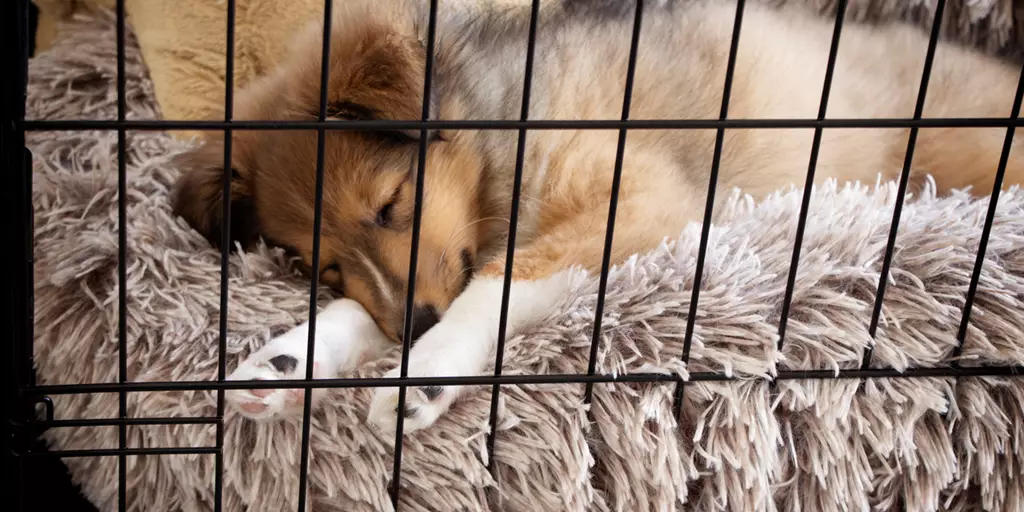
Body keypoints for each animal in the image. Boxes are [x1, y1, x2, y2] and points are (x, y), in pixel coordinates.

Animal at [172, 0, 1024, 432]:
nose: (413, 328)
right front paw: (283, 362)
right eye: (318, 263)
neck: (501, 134)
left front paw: (427, 371)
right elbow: (370, 307)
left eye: (392, 204)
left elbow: (496, 284)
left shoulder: (636, 199)